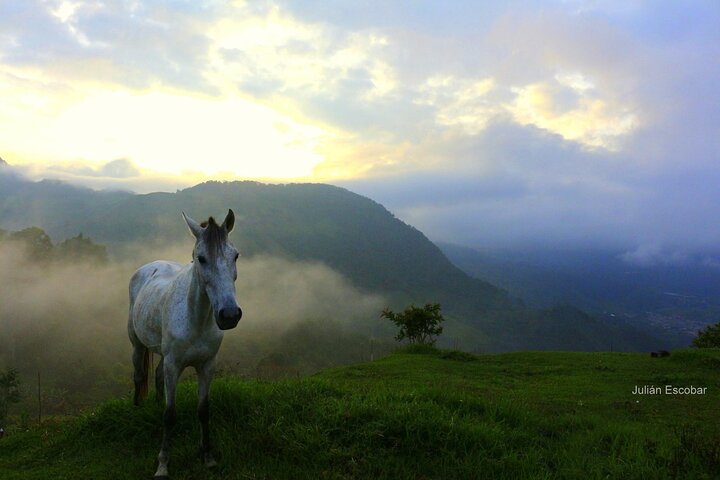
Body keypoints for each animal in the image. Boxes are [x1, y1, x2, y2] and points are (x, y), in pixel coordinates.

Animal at [127, 209, 242, 479]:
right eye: (200, 259)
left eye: (235, 255)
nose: (229, 315)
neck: (196, 320)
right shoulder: (174, 366)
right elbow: (170, 415)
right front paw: (162, 464)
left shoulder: (207, 366)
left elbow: (204, 410)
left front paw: (208, 457)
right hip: (137, 344)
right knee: (139, 375)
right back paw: (137, 408)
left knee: (157, 375)